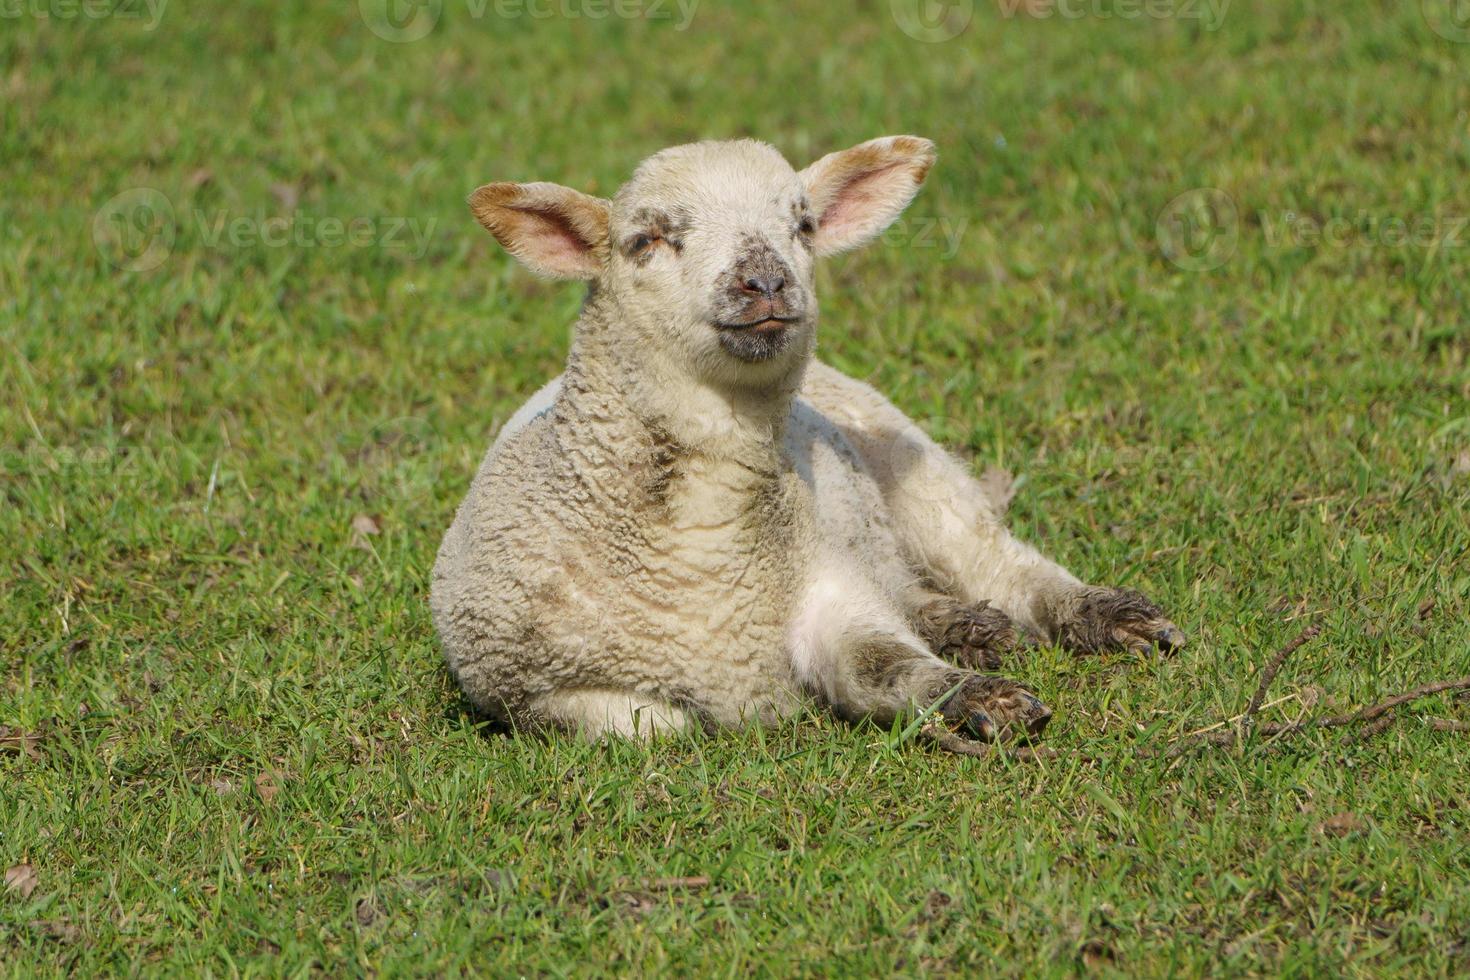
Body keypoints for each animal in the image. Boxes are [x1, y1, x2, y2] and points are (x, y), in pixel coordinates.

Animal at [429, 135, 1187, 743]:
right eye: (646, 239)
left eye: (803, 224)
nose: (766, 281)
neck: (696, 549)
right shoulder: (529, 689)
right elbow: (654, 725)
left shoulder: (831, 592)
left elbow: (882, 663)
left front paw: (979, 700)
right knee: (911, 587)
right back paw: (969, 628)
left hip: (915, 469)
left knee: (1004, 564)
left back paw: (1107, 617)